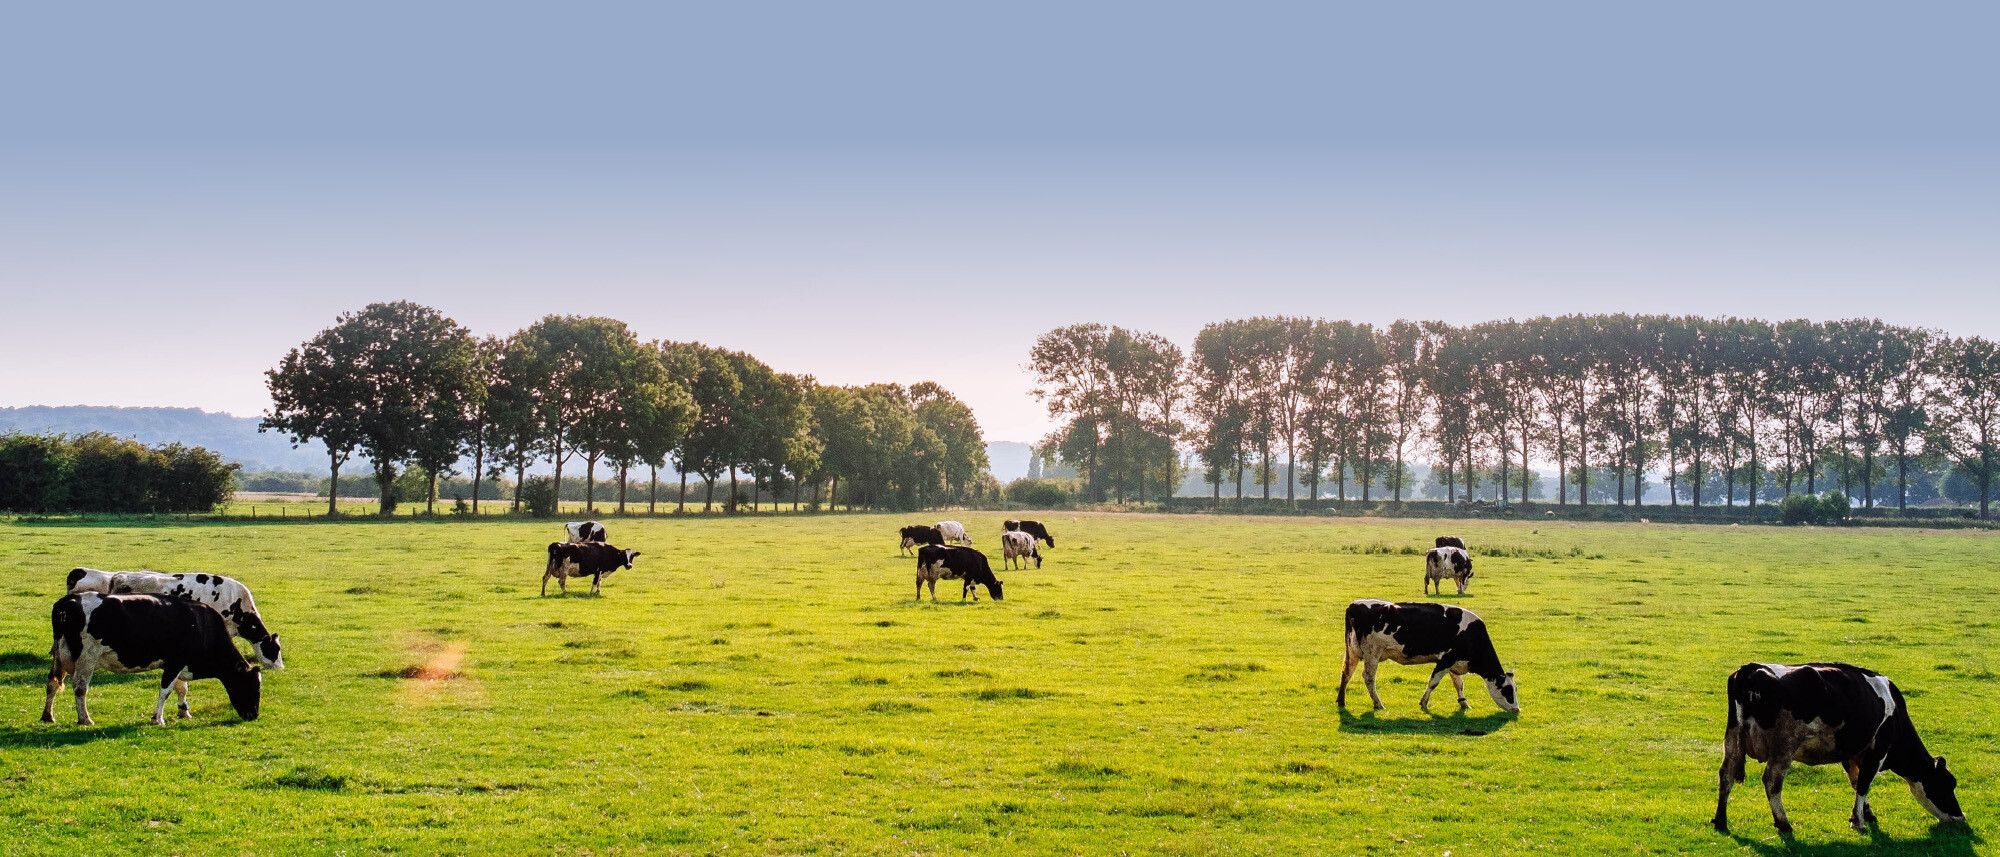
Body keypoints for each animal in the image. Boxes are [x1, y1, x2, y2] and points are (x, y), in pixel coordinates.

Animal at [43, 592, 260, 724]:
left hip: (59, 656)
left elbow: (181, 688)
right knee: (80, 687)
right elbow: (166, 690)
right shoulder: (175, 662)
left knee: (52, 682)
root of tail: (68, 600)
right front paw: (158, 718)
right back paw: (85, 719)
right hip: (86, 657)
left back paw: (48, 716)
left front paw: (184, 711)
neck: (202, 625)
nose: (254, 715)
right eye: (250, 686)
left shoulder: (177, 664)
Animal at [1712, 660, 1960, 832]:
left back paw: (1721, 821)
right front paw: (1859, 823)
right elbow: (1864, 783)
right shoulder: (1878, 750)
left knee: (1726, 775)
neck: (1896, 715)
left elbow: (1856, 781)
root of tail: (1751, 669)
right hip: (1784, 744)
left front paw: (1865, 814)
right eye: (1948, 784)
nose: (1960, 817)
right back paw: (1783, 823)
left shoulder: (1849, 753)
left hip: (1732, 738)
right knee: (1772, 781)